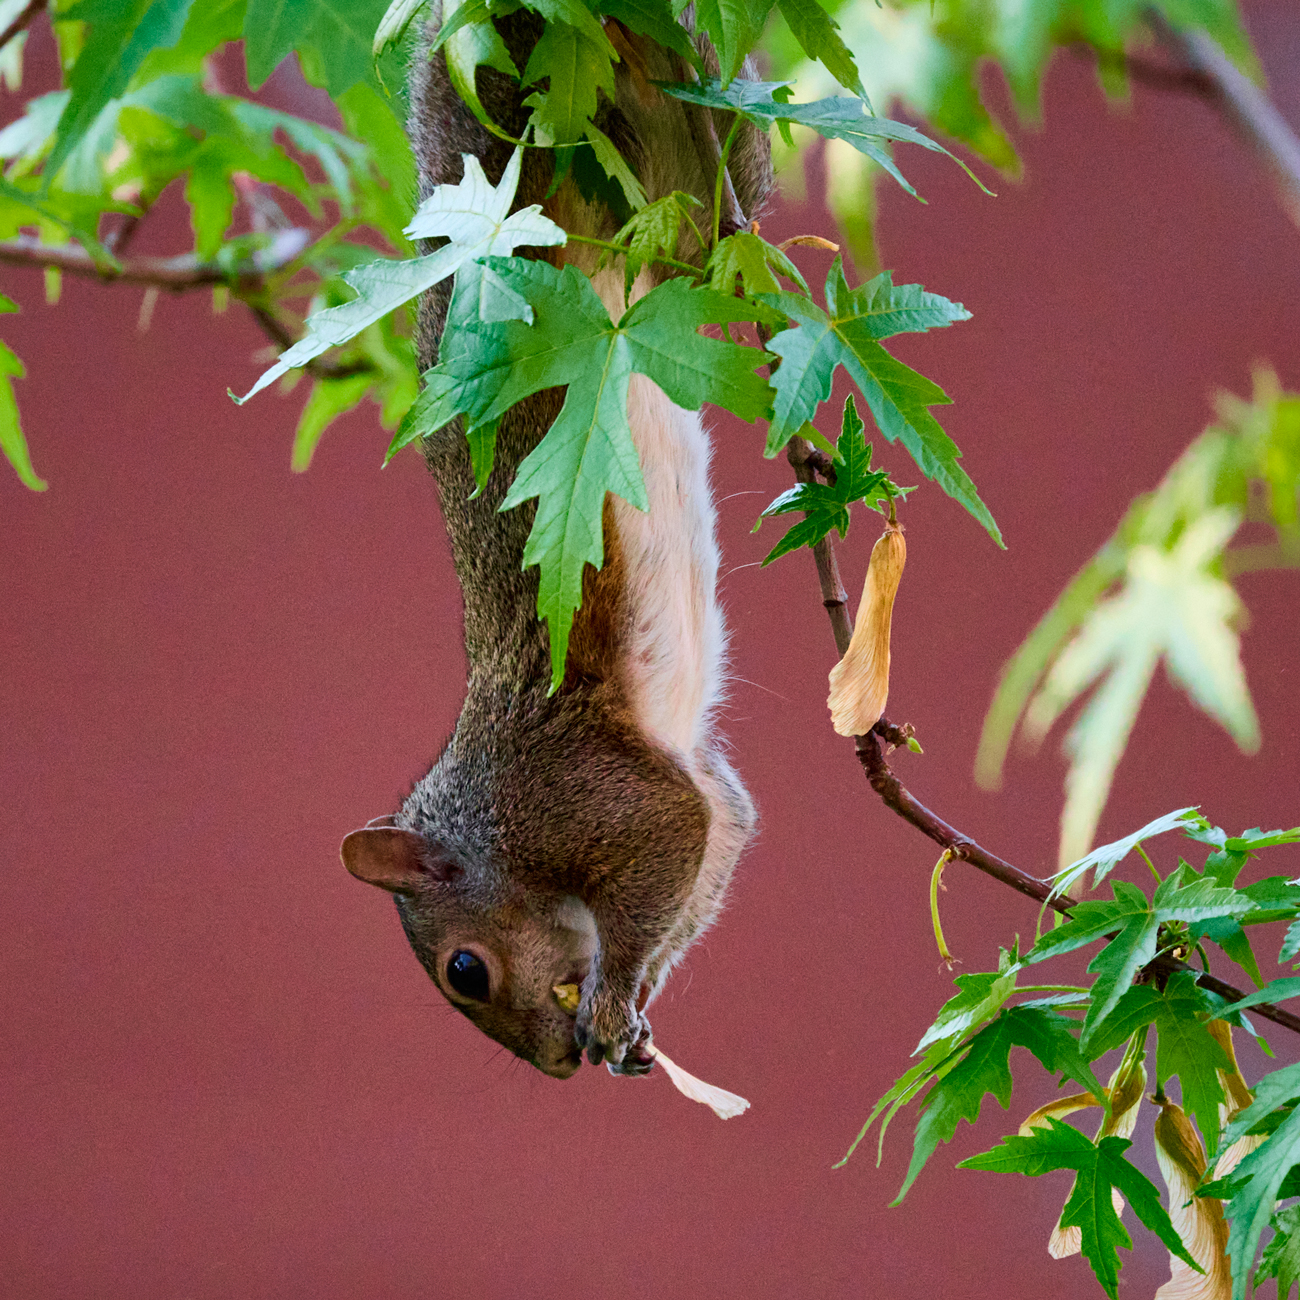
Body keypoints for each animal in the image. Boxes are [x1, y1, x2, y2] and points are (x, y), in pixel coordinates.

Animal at [340, 7, 772, 1077]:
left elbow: (670, 846)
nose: (555, 1065)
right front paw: (637, 1015)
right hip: (681, 205)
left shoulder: (588, 799)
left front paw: (612, 1003)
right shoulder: (702, 791)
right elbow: (721, 839)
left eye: (465, 970)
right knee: (701, 216)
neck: (490, 821)